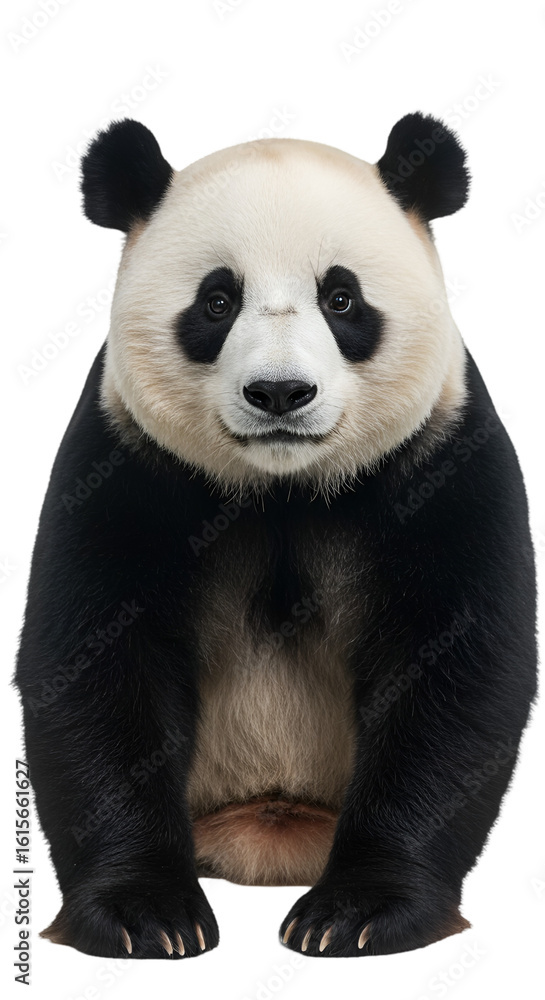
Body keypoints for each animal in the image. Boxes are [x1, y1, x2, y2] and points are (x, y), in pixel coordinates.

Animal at [15, 113, 537, 960]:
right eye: (217, 300)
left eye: (341, 298)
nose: (280, 393)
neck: (281, 488)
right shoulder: (125, 459)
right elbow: (97, 663)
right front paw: (144, 914)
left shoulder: (440, 456)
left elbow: (453, 670)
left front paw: (357, 913)